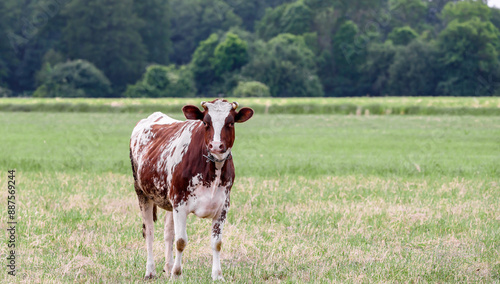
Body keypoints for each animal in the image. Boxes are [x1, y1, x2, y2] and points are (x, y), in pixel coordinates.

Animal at [129, 99, 254, 280]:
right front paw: (177, 274)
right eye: (205, 123)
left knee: (168, 233)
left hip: (168, 201)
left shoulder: (223, 207)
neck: (212, 172)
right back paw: (150, 271)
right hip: (142, 192)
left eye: (230, 123)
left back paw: (168, 266)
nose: (216, 145)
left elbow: (216, 243)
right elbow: (181, 241)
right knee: (149, 232)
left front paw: (217, 275)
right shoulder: (180, 204)